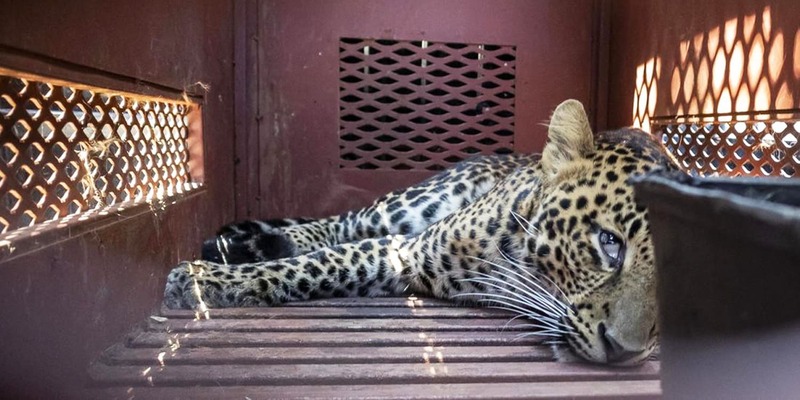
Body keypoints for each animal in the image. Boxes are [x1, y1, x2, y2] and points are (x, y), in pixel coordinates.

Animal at [164, 99, 679, 366]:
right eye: (609, 243)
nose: (625, 352)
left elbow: (328, 263)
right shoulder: (408, 250)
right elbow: (322, 262)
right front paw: (204, 281)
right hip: (410, 206)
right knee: (335, 225)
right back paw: (234, 245)